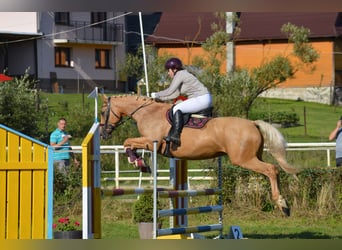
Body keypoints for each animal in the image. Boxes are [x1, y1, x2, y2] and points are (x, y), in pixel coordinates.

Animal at [99, 94, 300, 216]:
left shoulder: (151, 141)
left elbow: (127, 142)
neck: (147, 112)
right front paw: (140, 163)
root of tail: (252, 123)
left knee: (271, 169)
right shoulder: (149, 143)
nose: (103, 134)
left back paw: (282, 204)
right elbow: (129, 143)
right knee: (272, 170)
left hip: (244, 160)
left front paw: (138, 163)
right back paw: (285, 203)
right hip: (253, 157)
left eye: (102, 112)